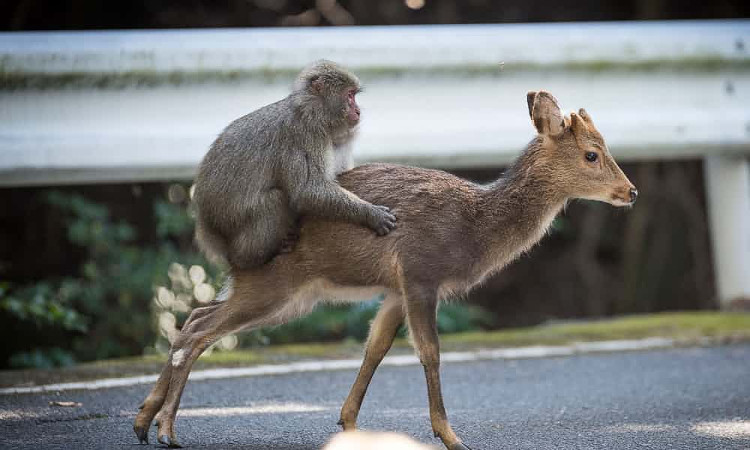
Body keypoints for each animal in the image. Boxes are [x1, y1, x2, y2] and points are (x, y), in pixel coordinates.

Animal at [134, 91, 637, 450]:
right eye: (592, 154)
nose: (630, 191)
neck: (473, 227)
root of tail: (228, 244)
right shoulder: (420, 271)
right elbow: (429, 352)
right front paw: (451, 437)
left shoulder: (395, 288)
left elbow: (374, 348)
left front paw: (349, 423)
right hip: (276, 284)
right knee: (199, 331)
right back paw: (166, 430)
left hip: (283, 293)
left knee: (193, 318)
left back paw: (143, 419)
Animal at [192, 60, 397, 270]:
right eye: (349, 95)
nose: (358, 111)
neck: (311, 111)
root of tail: (207, 227)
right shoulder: (304, 135)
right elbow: (307, 191)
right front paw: (370, 214)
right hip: (231, 223)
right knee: (274, 200)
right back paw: (249, 258)